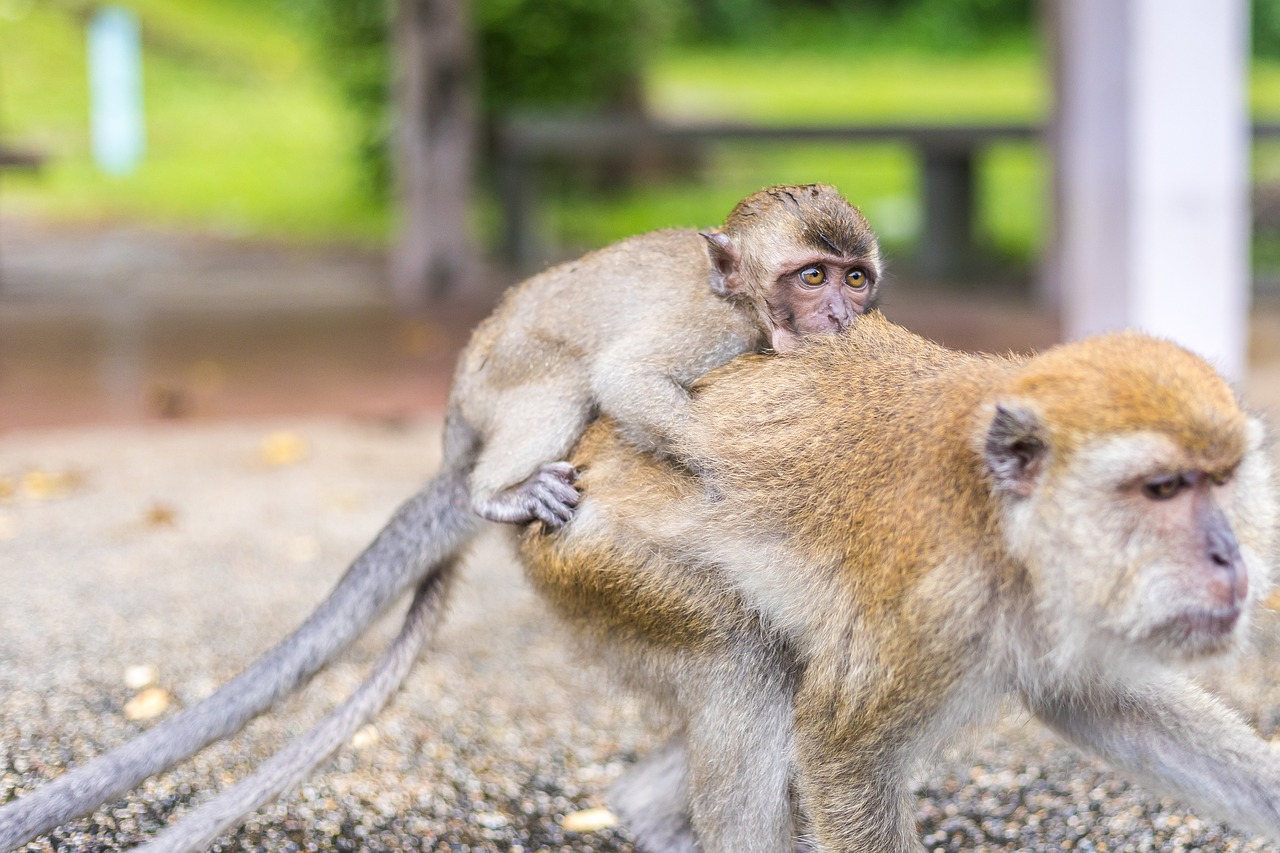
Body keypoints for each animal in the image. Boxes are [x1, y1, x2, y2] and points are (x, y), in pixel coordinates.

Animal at [453, 181, 880, 522]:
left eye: (855, 278)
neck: (743, 303)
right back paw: (496, 495)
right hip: (501, 369)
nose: (840, 315)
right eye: (814, 275)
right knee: (565, 376)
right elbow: (625, 374)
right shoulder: (716, 326)